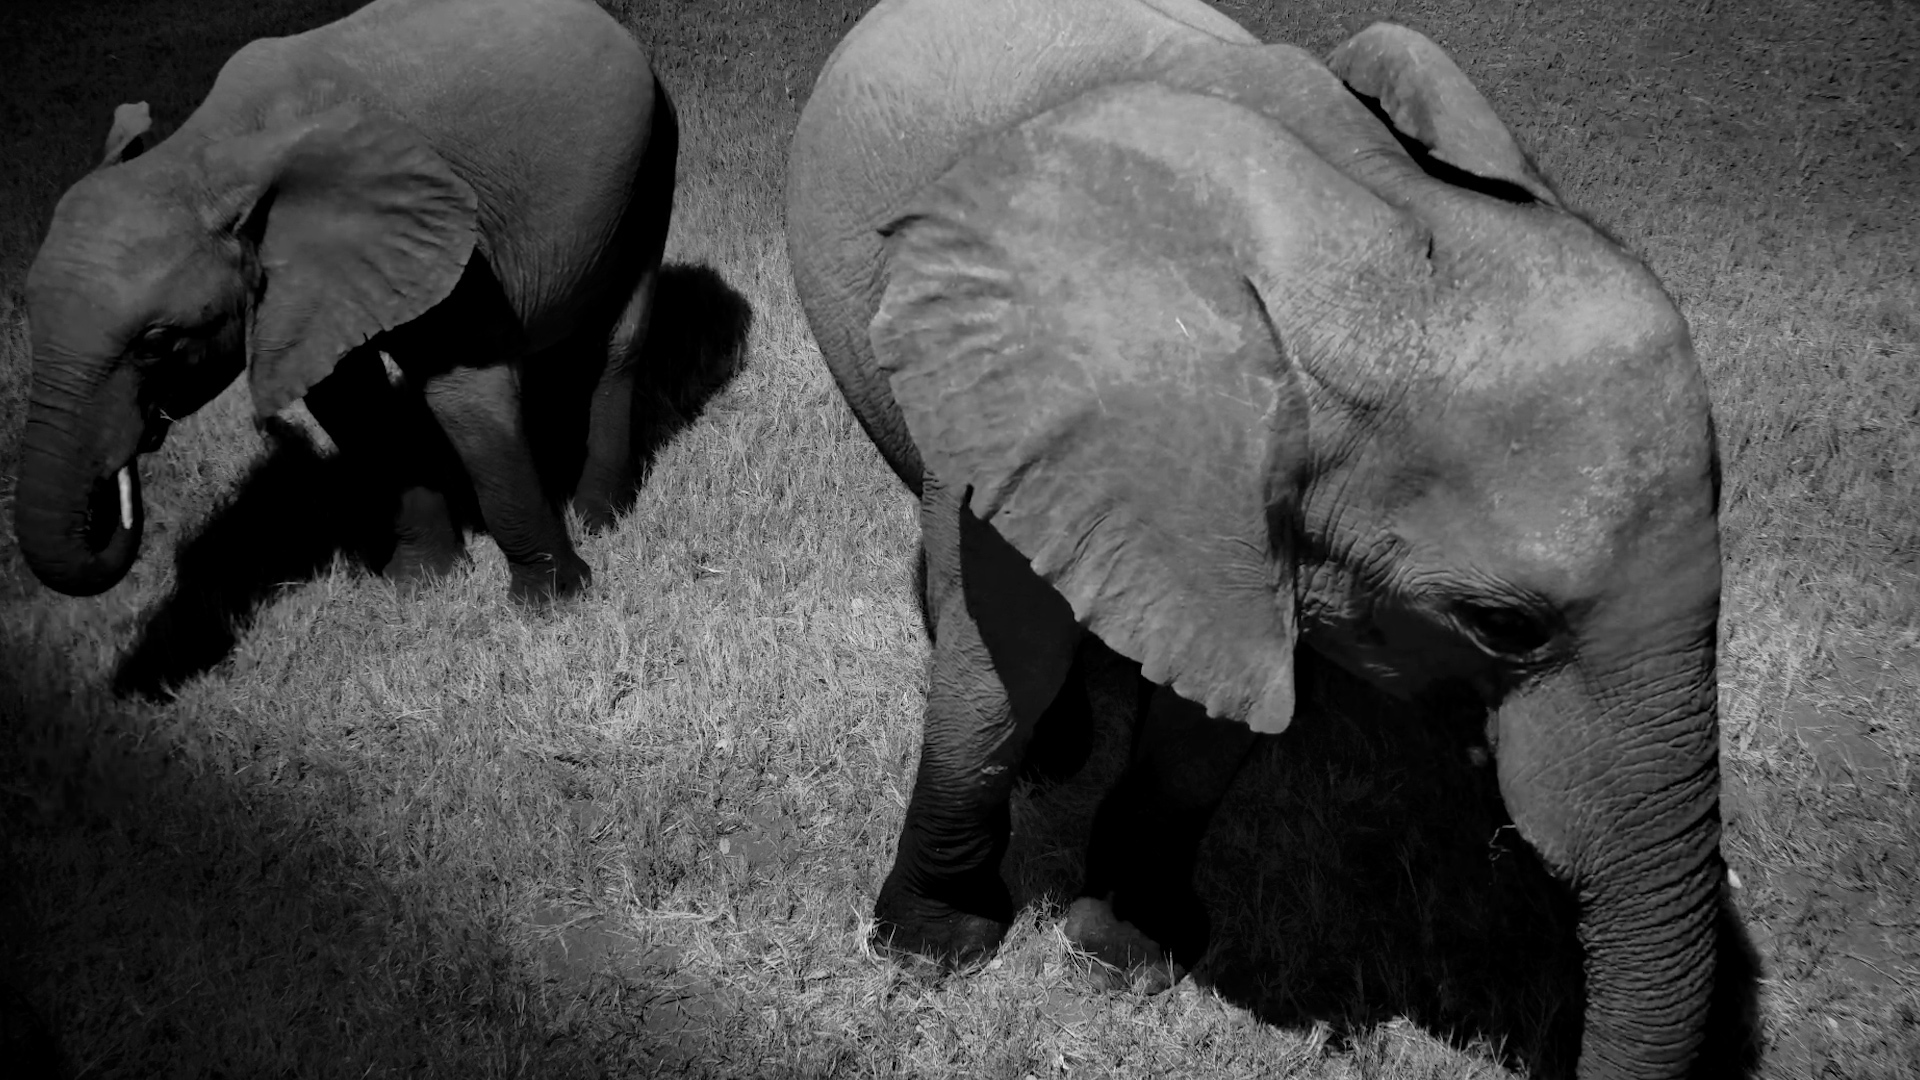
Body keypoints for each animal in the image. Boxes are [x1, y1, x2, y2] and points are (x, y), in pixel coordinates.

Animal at [14, 0, 677, 605]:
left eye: (157, 344)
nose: (119, 495)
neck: (210, 147)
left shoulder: (454, 233)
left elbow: (462, 392)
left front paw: (552, 601)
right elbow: (351, 406)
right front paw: (419, 585)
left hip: (655, 148)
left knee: (618, 338)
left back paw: (599, 516)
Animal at [785, 0, 1726, 1076]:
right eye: (1502, 626)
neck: (1385, 219)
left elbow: (1221, 710)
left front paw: (1124, 958)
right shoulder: (1013, 401)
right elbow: (997, 661)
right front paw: (929, 951)